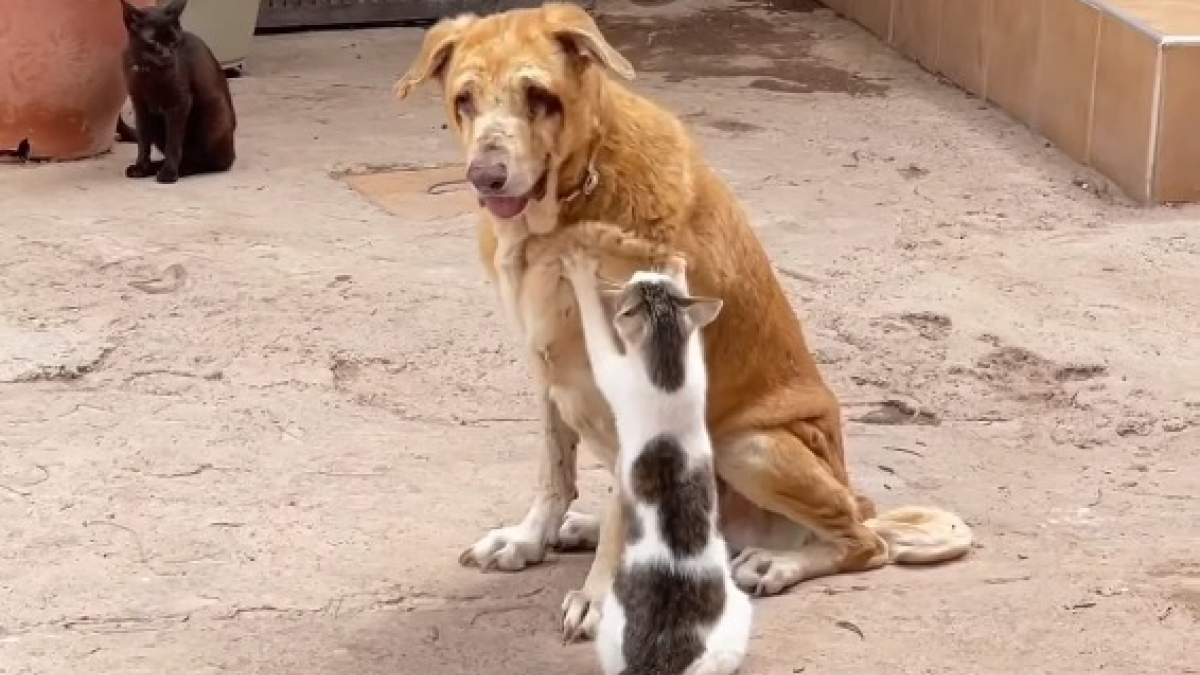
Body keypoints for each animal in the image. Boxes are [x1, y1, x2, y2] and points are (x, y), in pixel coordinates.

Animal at [120, 0, 236, 182]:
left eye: (174, 41)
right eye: (152, 41)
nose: (167, 55)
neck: (150, 72)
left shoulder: (180, 103)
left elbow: (173, 142)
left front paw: (169, 173)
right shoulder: (140, 106)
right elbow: (143, 140)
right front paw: (141, 167)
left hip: (215, 114)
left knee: (206, 162)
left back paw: (179, 169)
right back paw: (154, 167)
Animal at [559, 247, 748, 672]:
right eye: (647, 280)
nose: (643, 272)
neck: (667, 371)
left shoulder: (614, 371)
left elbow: (595, 329)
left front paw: (581, 273)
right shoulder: (695, 367)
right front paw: (678, 266)